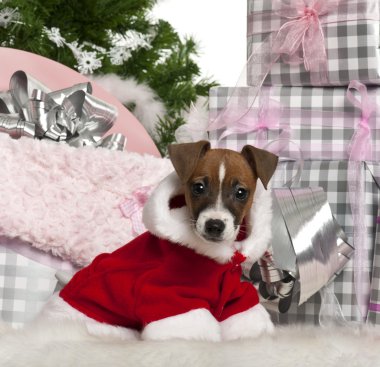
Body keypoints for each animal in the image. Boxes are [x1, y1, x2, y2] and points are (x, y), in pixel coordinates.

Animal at [39, 140, 280, 342]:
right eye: (198, 187)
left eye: (241, 192)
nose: (214, 225)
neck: (213, 256)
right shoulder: (169, 296)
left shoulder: (233, 293)